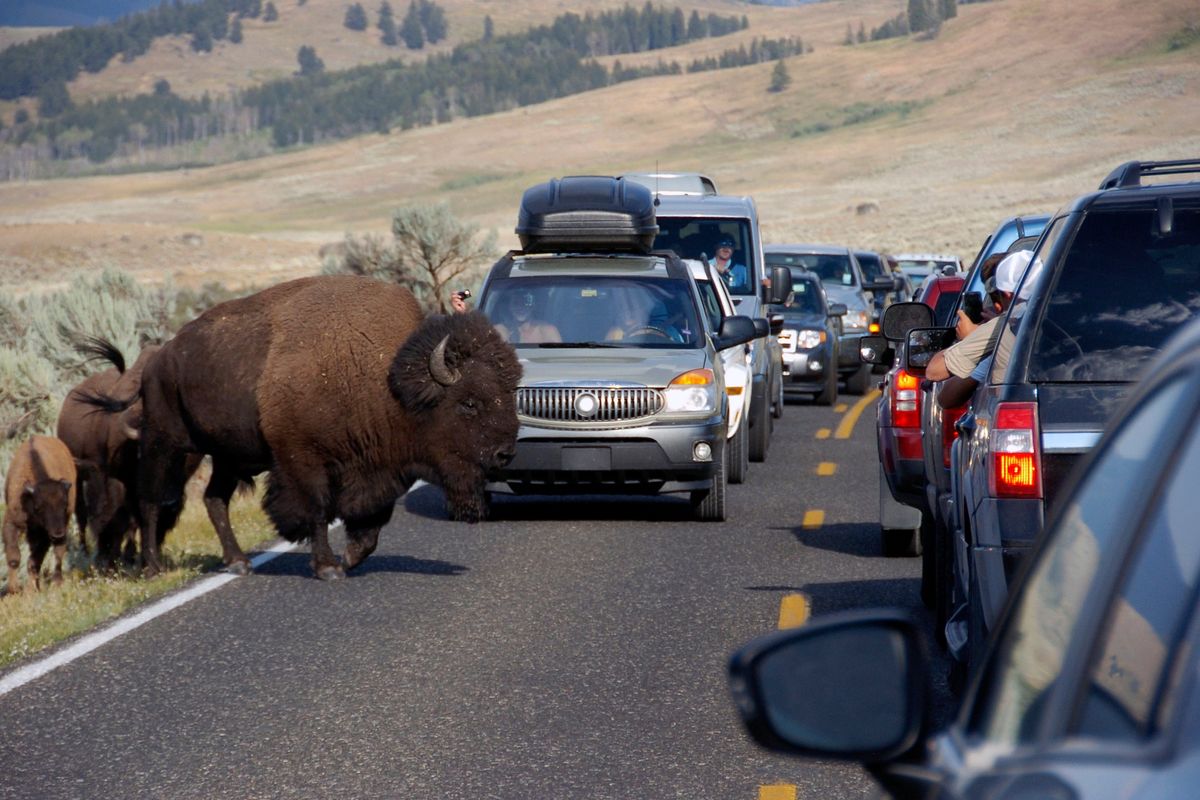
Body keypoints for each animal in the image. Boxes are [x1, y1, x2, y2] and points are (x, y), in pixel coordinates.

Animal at [3, 438, 77, 594]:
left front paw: (30, 591)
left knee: (58, 553)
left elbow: (33, 561)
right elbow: (14, 558)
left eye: (65, 504)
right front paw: (14, 590)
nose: (58, 533)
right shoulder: (11, 523)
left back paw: (56, 583)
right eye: (39, 507)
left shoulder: (45, 535)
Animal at [84, 275, 516, 582]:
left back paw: (238, 562)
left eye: (509, 392)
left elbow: (371, 526)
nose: (505, 453)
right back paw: (153, 567)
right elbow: (318, 511)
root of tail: (158, 358)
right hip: (167, 443)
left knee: (214, 499)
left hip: (227, 456)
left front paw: (349, 559)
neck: (385, 379)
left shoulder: (378, 469)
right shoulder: (303, 461)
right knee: (150, 500)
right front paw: (328, 567)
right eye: (469, 402)